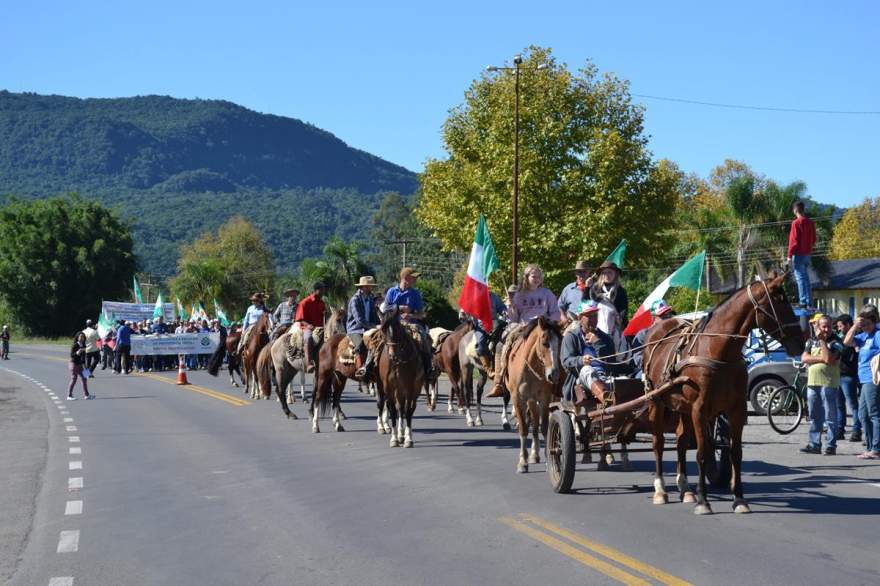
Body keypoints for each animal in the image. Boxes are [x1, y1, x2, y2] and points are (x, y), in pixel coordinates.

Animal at [372, 306, 424, 448]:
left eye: (396, 328)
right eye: (383, 329)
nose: (392, 355)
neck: (397, 363)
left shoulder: (410, 388)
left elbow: (407, 411)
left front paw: (408, 439)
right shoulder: (388, 387)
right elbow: (393, 410)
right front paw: (394, 438)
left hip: (413, 389)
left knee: (408, 409)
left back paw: (404, 435)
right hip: (390, 388)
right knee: (395, 407)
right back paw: (398, 434)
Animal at [502, 318, 564, 472]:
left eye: (560, 343)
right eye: (545, 343)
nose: (554, 374)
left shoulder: (544, 399)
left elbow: (544, 428)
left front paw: (549, 459)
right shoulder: (518, 399)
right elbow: (524, 428)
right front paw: (522, 462)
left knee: (536, 424)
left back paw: (535, 454)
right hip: (530, 400)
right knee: (533, 423)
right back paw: (533, 455)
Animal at [640, 272, 804, 512]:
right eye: (780, 302)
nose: (801, 342)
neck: (719, 351)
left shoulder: (736, 410)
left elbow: (735, 453)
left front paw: (739, 499)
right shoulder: (699, 409)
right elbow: (702, 453)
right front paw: (703, 500)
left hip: (683, 408)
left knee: (681, 442)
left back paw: (685, 488)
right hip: (657, 402)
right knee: (658, 443)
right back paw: (661, 489)